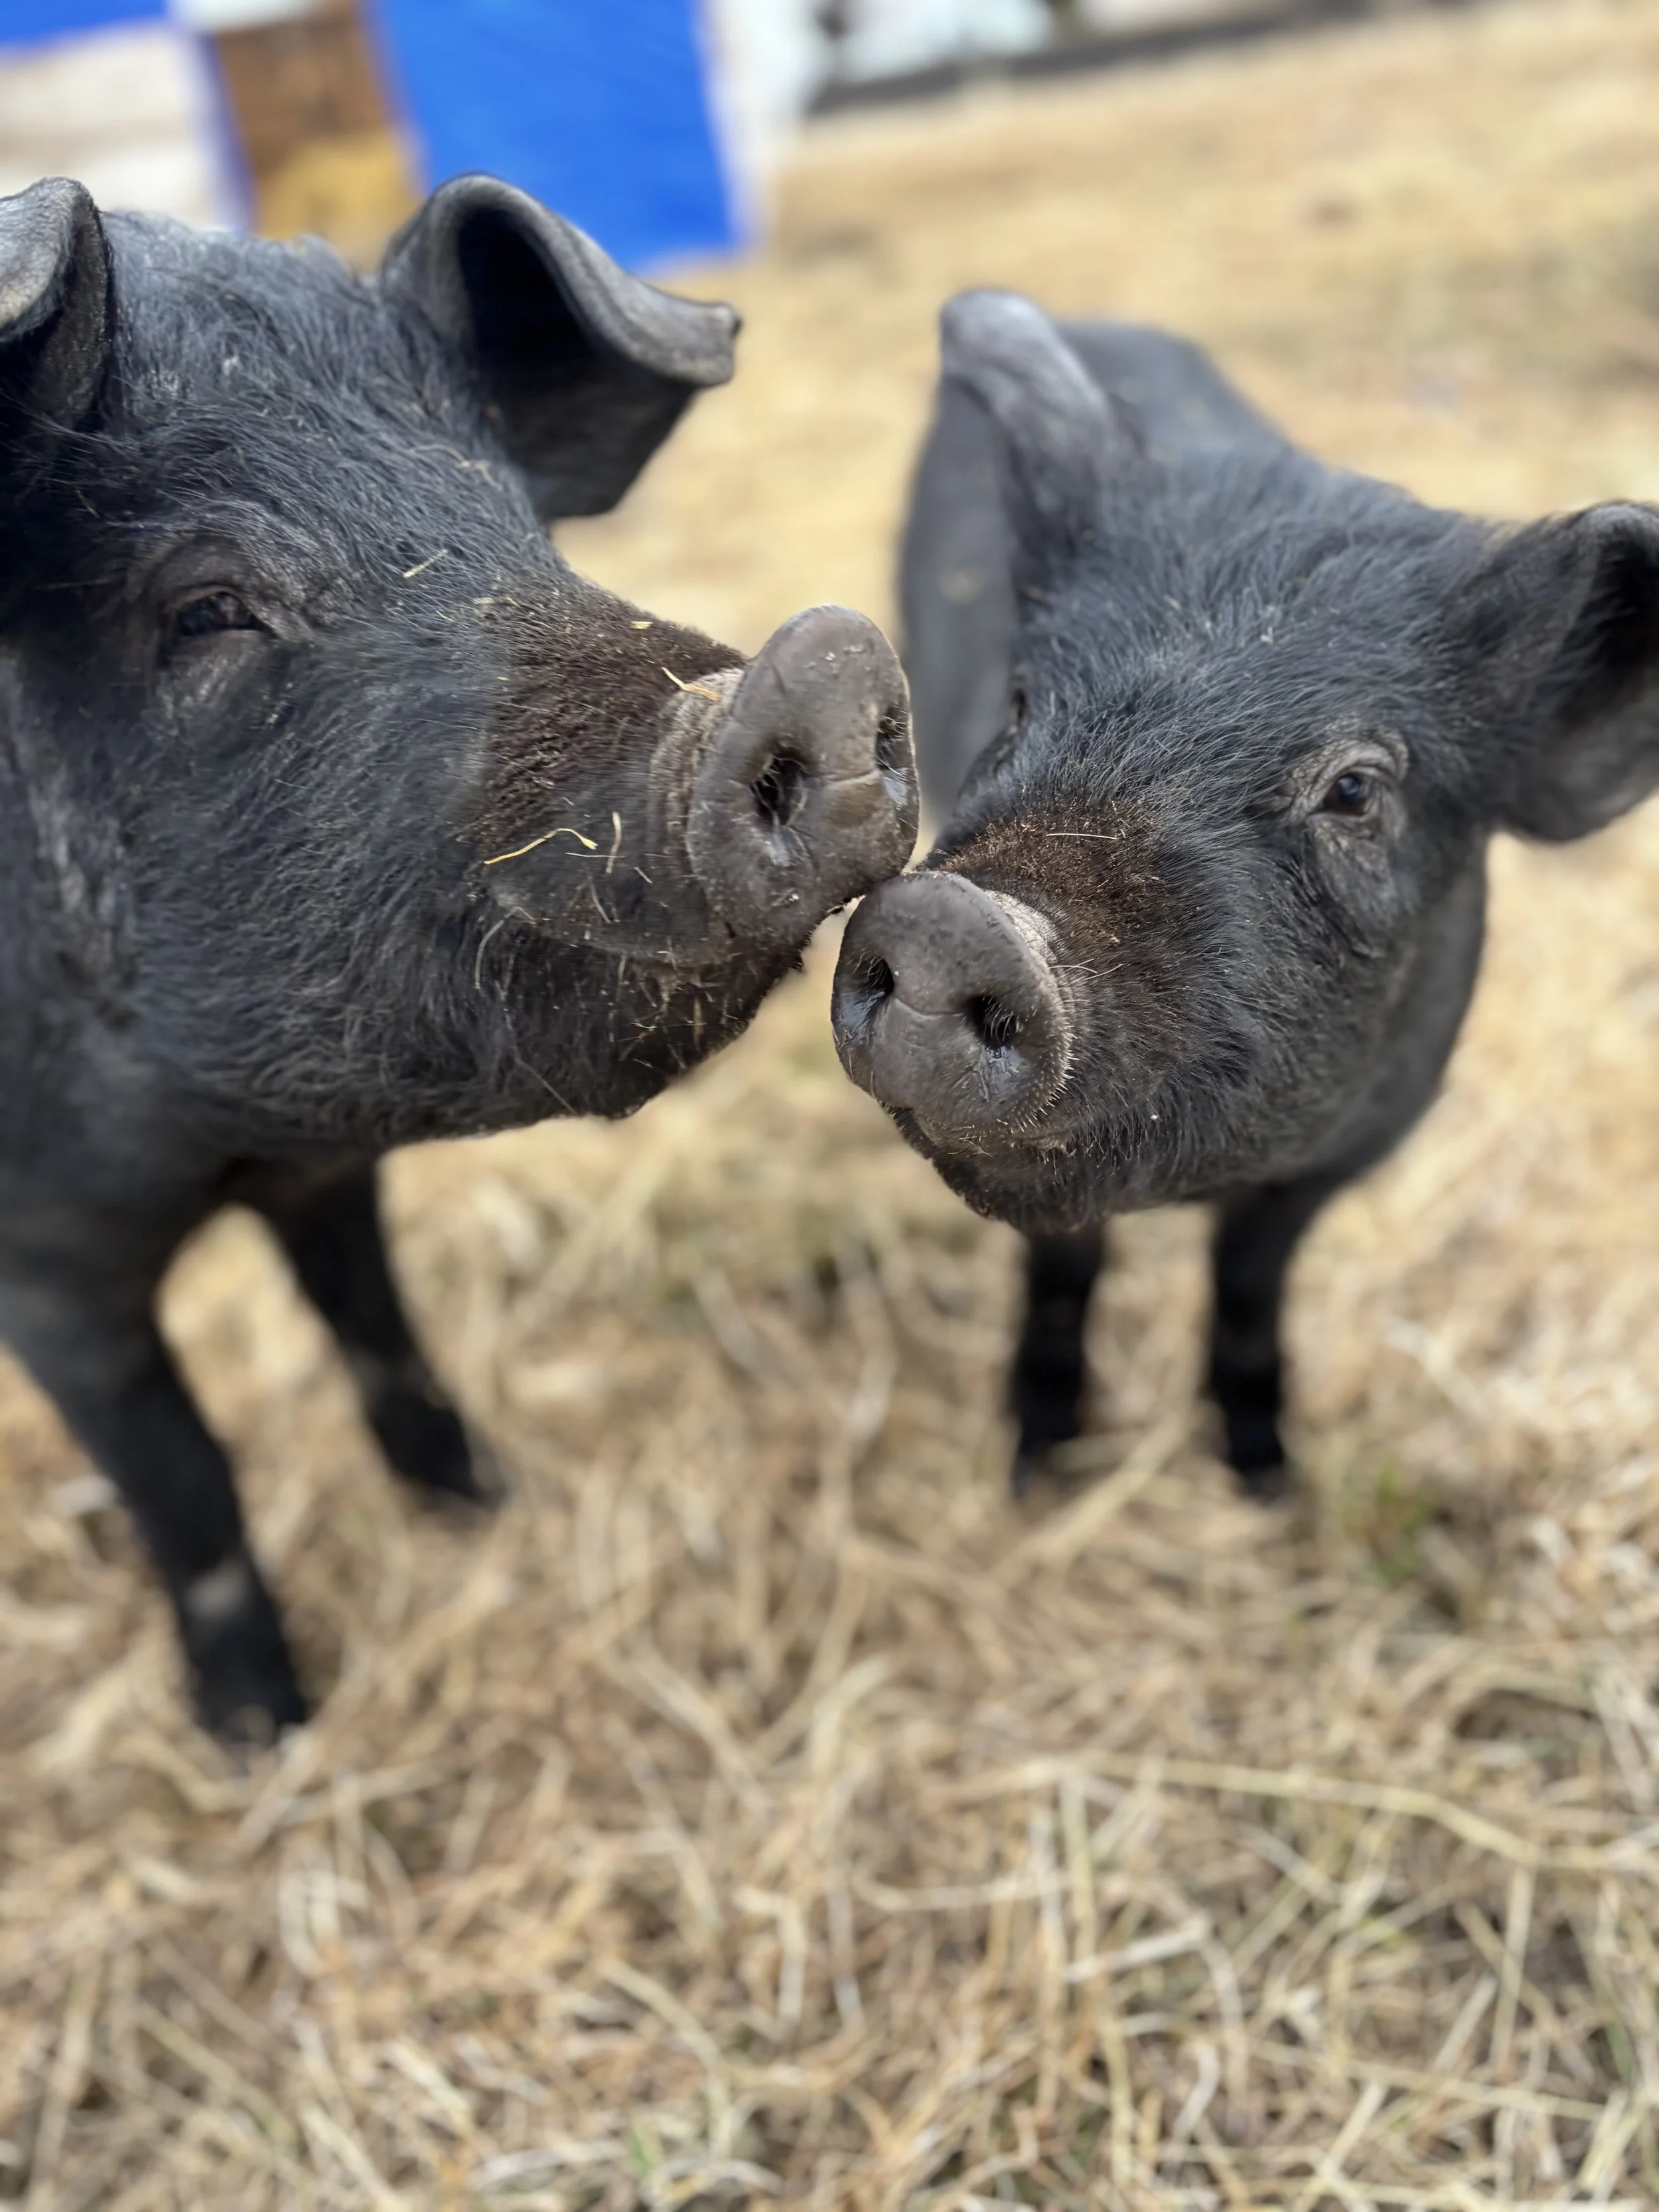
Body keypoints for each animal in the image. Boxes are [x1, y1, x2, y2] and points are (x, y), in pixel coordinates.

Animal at [0, 175, 917, 1738]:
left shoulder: (324, 1171)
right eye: (204, 607)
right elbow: (184, 1476)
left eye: (516, 523)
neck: (217, 1141)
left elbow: (380, 1329)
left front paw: (477, 1503)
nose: (830, 661)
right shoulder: (48, 1253)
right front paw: (263, 1733)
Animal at [832, 289, 1658, 1496]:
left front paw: (1268, 1480)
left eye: (1356, 787)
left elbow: (1251, 1280)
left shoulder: (1356, 1148)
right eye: (1022, 700)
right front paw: (1039, 1467)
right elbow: (1064, 1268)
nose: (953, 921)